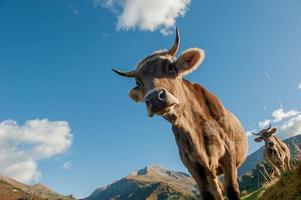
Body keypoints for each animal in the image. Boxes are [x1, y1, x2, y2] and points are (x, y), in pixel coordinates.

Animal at [112, 28, 246, 200]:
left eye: (170, 66)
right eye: (138, 83)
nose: (154, 98)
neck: (194, 128)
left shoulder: (229, 152)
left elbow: (232, 189)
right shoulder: (191, 165)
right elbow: (207, 194)